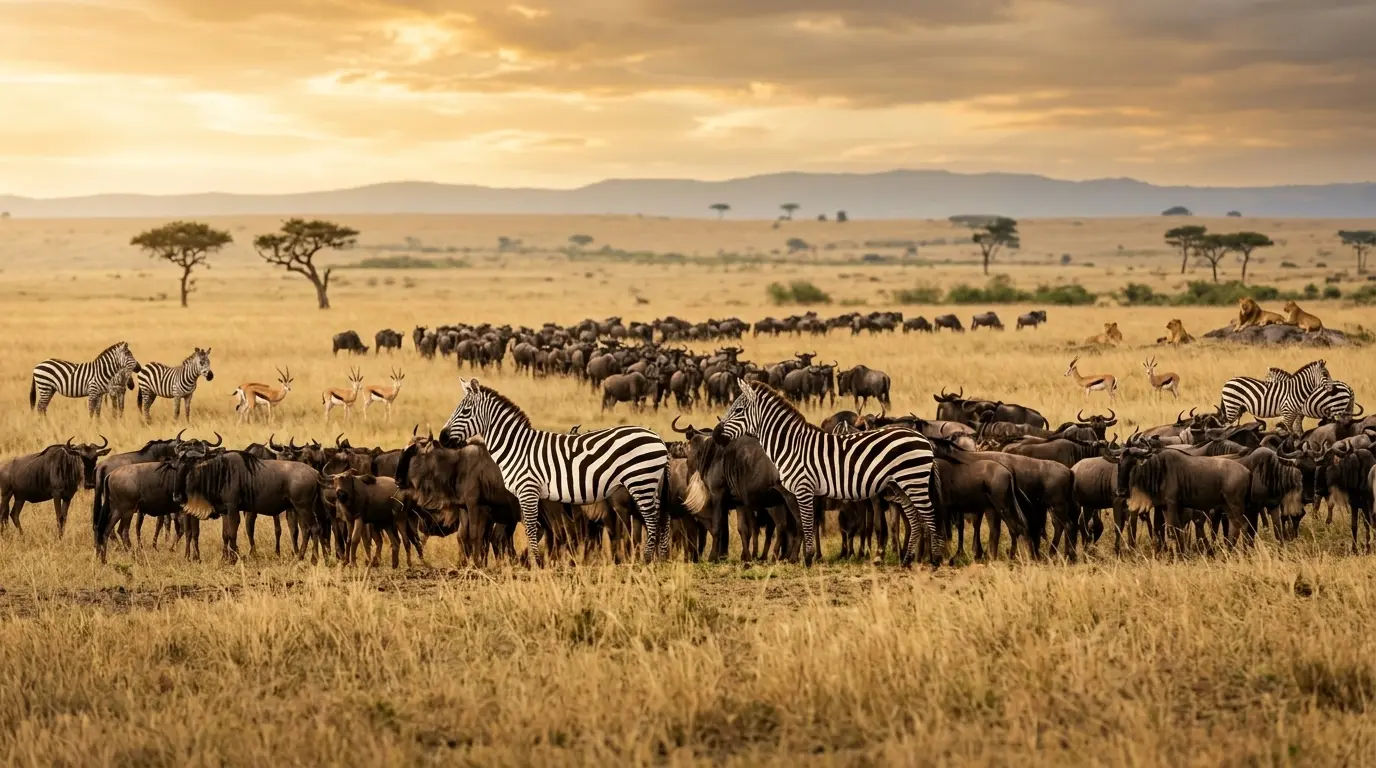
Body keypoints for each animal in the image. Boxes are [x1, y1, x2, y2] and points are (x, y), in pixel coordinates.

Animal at [438, 378, 669, 564]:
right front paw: (539, 563)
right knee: (661, 518)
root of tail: (659, 439)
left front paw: (537, 564)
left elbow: (532, 529)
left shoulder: (528, 490)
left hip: (641, 481)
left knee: (652, 518)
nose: (442, 438)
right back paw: (659, 559)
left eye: (465, 412)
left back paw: (646, 560)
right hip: (652, 484)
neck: (517, 447)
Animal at [713, 379, 942, 568]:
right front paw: (809, 558)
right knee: (914, 518)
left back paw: (935, 561)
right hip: (900, 485)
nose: (715, 435)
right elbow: (807, 524)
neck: (792, 445)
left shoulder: (803, 488)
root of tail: (921, 436)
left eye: (738, 409)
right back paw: (907, 561)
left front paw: (807, 560)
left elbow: (806, 524)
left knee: (930, 515)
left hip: (913, 481)